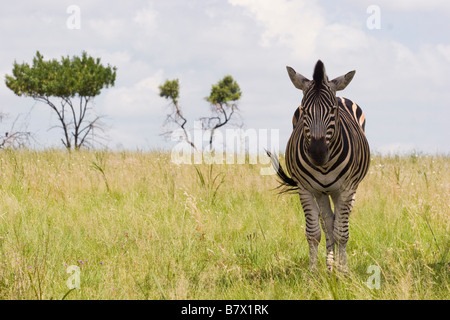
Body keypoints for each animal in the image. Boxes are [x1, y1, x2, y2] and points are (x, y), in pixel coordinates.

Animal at [268, 58, 370, 272]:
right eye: (304, 111)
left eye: (333, 110)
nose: (317, 153)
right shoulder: (306, 189)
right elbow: (314, 232)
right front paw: (313, 272)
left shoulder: (347, 189)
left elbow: (342, 232)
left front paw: (343, 271)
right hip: (322, 192)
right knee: (328, 222)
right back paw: (330, 265)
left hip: (347, 190)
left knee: (339, 222)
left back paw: (337, 265)